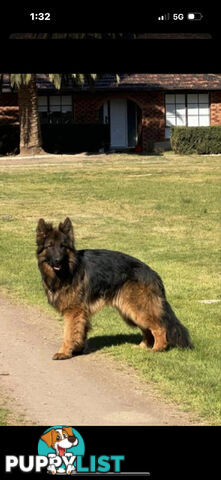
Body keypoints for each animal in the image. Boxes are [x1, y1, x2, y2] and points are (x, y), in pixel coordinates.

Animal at [36, 218, 193, 360]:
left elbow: (69, 334)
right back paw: (142, 347)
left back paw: (156, 349)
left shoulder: (73, 311)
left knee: (160, 328)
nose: (57, 260)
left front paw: (64, 352)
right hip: (129, 311)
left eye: (62, 246)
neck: (69, 269)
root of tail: (153, 273)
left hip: (137, 309)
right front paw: (78, 350)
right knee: (147, 330)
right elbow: (80, 332)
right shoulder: (81, 312)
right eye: (50, 246)